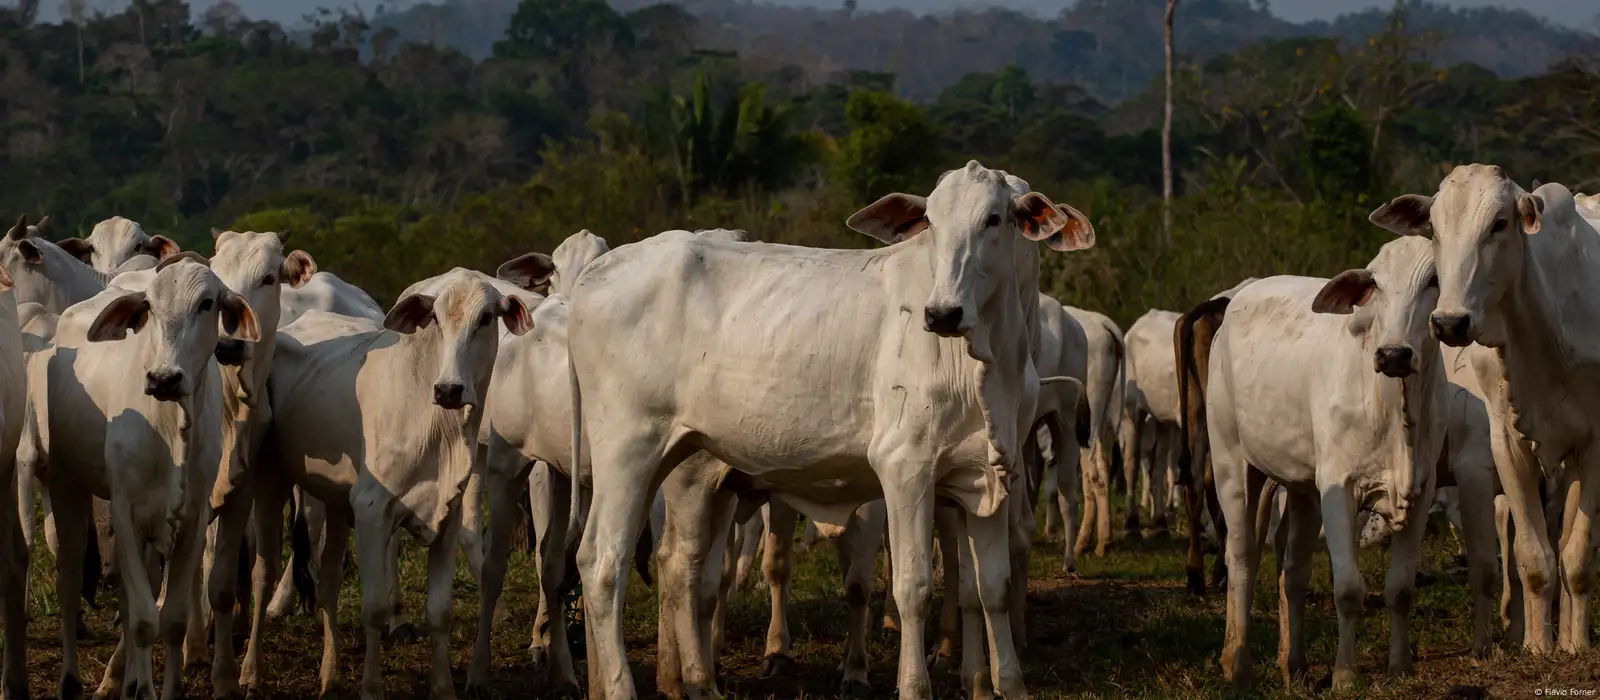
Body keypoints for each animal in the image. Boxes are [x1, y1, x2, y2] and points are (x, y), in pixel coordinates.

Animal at [32, 255, 259, 700]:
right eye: (150, 306)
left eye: (207, 303)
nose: (164, 379)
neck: (170, 428)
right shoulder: (124, 514)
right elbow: (140, 620)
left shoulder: (191, 522)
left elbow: (170, 619)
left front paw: (162, 689)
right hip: (66, 482)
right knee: (69, 580)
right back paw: (71, 679)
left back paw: (131, 681)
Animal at [252, 257, 547, 700]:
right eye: (436, 318)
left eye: (486, 318)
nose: (449, 389)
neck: (434, 424)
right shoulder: (372, 511)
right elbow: (374, 608)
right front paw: (372, 687)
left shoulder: (447, 517)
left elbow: (439, 612)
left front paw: (443, 688)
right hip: (272, 483)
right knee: (262, 574)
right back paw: (248, 672)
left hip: (336, 502)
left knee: (329, 583)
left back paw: (330, 675)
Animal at [563, 163, 1088, 700]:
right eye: (932, 222)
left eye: (995, 219)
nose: (942, 313)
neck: (986, 365)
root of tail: (594, 275)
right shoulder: (905, 469)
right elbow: (913, 587)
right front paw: (912, 684)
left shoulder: (989, 475)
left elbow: (991, 589)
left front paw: (1008, 684)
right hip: (628, 452)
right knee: (604, 563)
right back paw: (627, 685)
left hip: (679, 462)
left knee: (672, 566)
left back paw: (687, 682)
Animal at [1209, 236, 1452, 690]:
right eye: (1375, 284)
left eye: (1434, 280)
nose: (1394, 354)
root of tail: (1242, 293)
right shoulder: (1341, 488)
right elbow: (1349, 590)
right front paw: (1344, 675)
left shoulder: (1421, 492)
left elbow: (1400, 590)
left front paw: (1399, 668)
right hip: (1231, 462)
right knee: (1242, 557)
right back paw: (1237, 663)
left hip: (1302, 487)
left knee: (1293, 570)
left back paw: (1295, 665)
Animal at [1363, 167, 1600, 652]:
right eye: (1434, 229)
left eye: (1499, 224)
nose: (1450, 322)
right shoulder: (1505, 442)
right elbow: (1532, 558)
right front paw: (1536, 647)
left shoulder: (1593, 442)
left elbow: (1579, 557)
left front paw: (1575, 646)